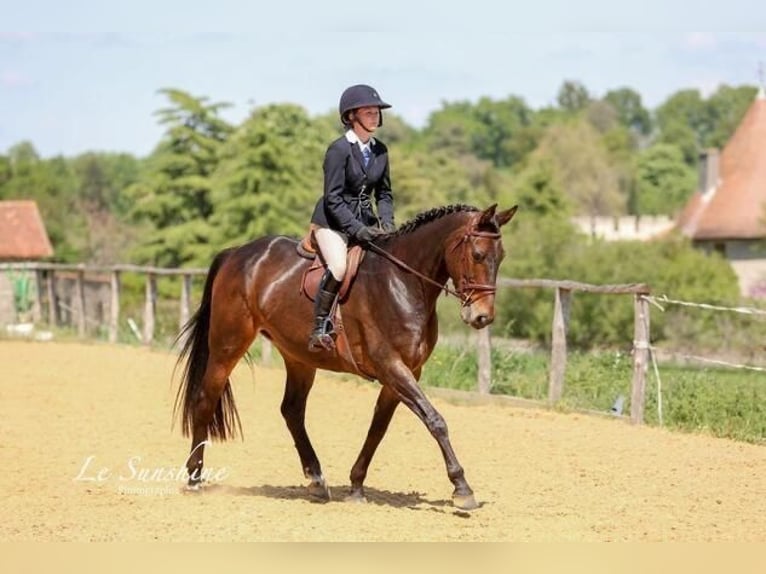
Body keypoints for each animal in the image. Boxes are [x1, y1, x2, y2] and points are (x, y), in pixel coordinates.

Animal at [174, 203, 517, 510]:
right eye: (478, 255)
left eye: (501, 257)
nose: (482, 317)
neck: (403, 282)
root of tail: (237, 253)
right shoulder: (392, 366)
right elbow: (435, 420)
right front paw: (462, 489)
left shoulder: (405, 372)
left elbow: (378, 428)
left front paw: (356, 486)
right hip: (228, 345)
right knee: (206, 399)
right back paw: (194, 479)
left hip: (298, 356)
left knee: (292, 410)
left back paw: (316, 481)